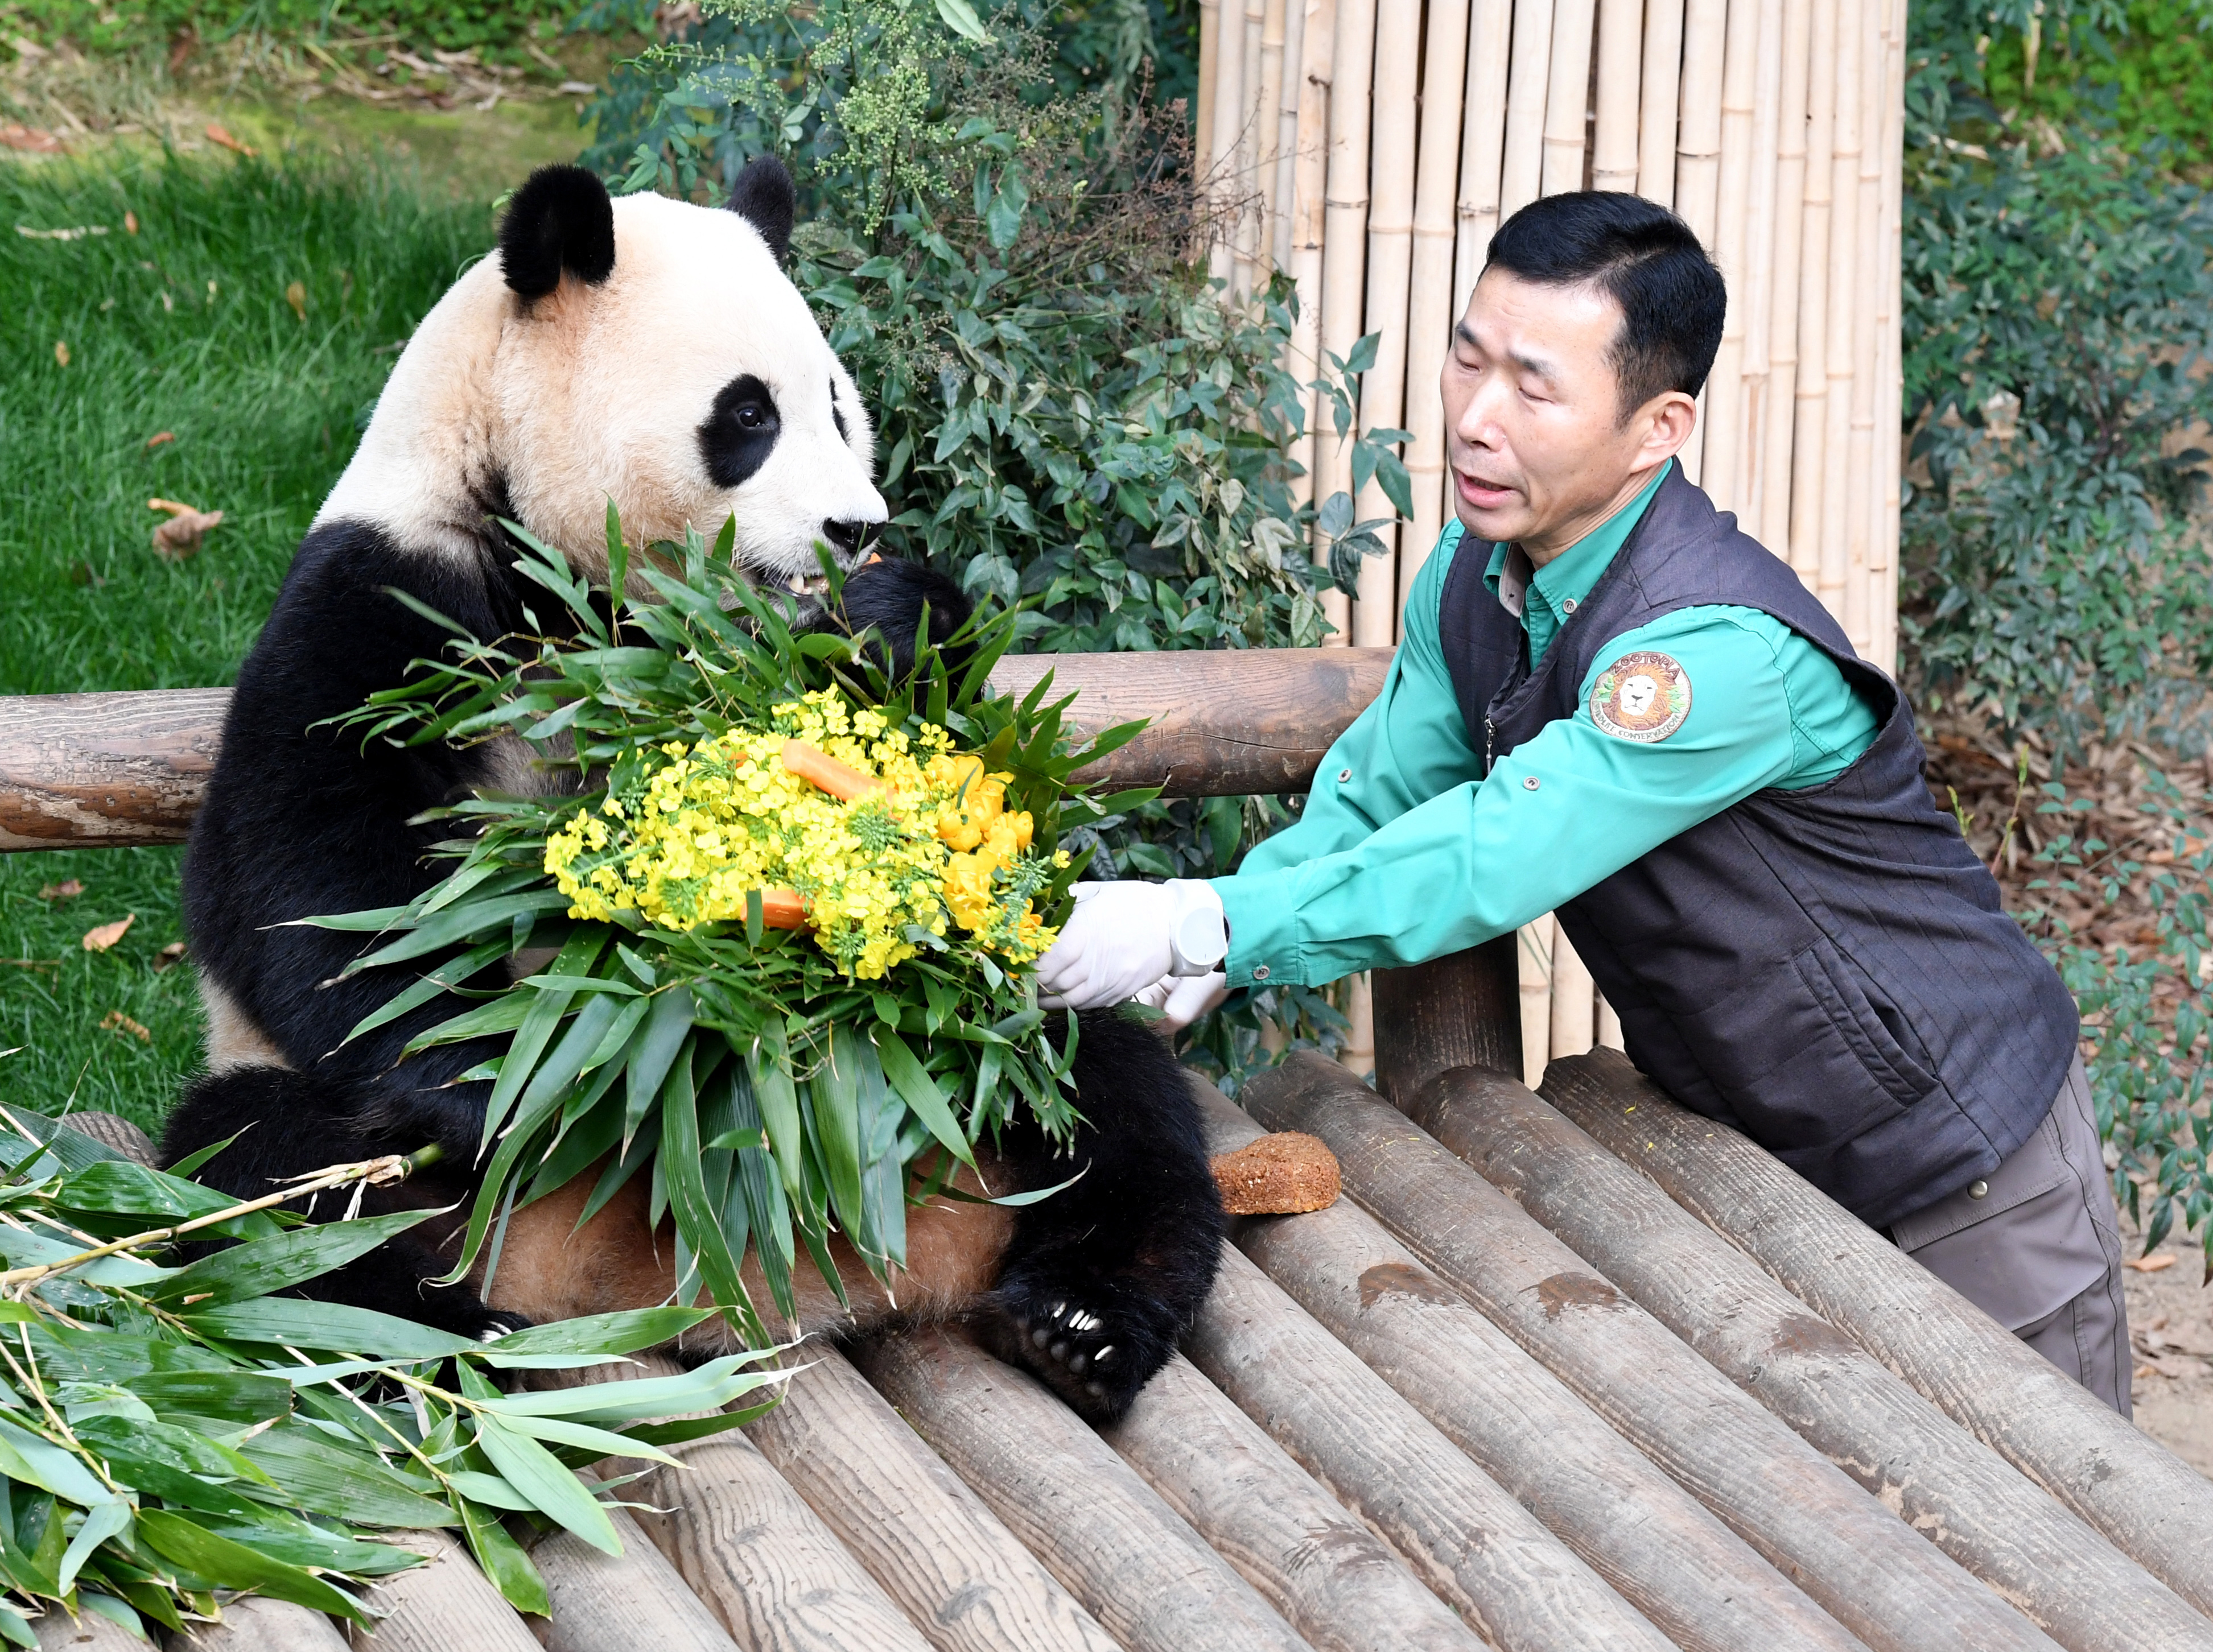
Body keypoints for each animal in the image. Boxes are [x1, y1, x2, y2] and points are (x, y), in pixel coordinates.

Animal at [156, 161, 1230, 1424]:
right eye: (748, 416)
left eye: (838, 408)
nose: (855, 526)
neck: (583, 597)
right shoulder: (390, 601)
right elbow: (305, 883)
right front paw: (513, 1080)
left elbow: (961, 770)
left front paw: (889, 624)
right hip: (319, 1141)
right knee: (272, 1183)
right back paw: (444, 1345)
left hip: (992, 1048)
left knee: (1109, 1098)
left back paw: (1078, 1326)